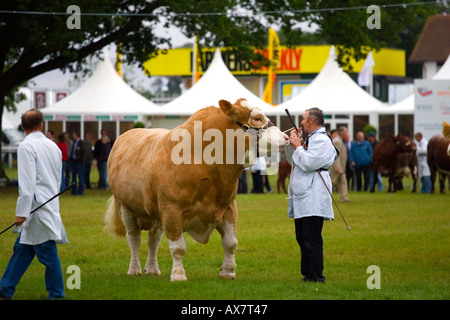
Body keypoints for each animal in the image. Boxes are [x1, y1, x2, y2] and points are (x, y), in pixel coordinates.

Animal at [103, 97, 288, 280]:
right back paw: (134, 269)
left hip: (155, 212)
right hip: (126, 207)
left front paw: (228, 271)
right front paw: (178, 275)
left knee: (153, 239)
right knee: (134, 239)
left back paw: (153, 268)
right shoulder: (171, 210)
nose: (286, 137)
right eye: (256, 118)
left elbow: (231, 243)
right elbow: (178, 247)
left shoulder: (228, 207)